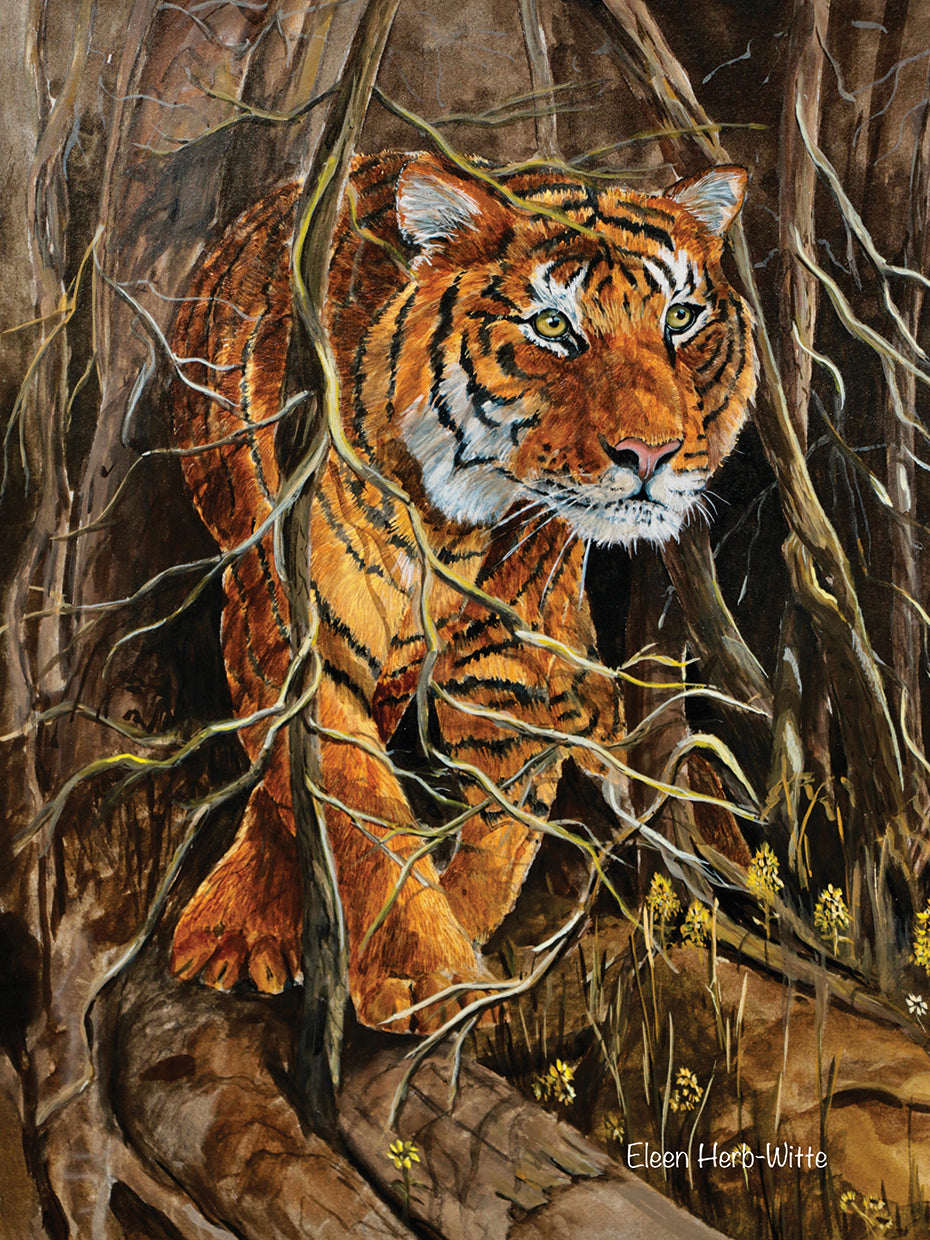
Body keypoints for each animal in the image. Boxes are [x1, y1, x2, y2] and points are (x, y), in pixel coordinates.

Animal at [168, 151, 756, 1034]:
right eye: (553, 327)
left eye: (681, 318)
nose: (652, 452)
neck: (456, 517)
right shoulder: (295, 631)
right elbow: (357, 805)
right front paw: (422, 975)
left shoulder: (505, 666)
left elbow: (499, 832)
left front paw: (448, 970)